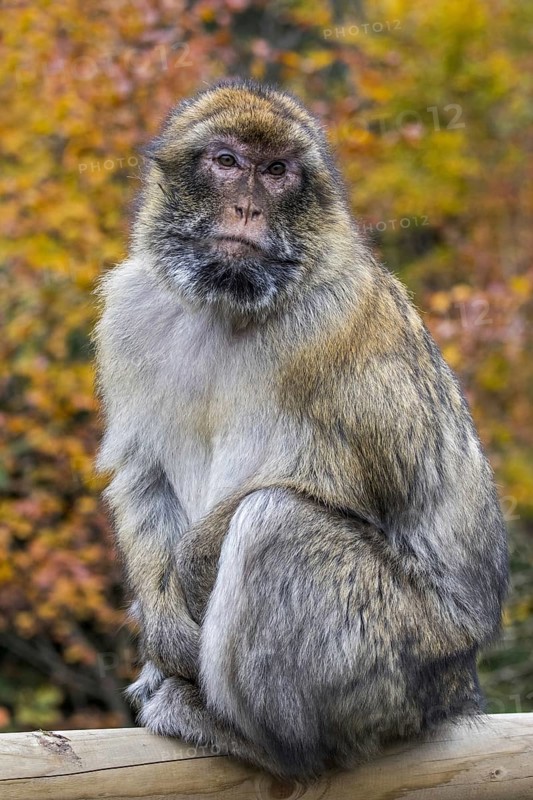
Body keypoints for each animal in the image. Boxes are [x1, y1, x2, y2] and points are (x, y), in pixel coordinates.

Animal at [94, 79, 509, 781]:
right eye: (227, 161)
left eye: (277, 171)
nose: (247, 207)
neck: (227, 304)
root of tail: (462, 684)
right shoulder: (130, 311)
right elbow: (141, 472)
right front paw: (164, 629)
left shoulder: (338, 318)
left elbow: (352, 482)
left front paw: (193, 567)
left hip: (397, 663)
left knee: (275, 523)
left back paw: (258, 741)